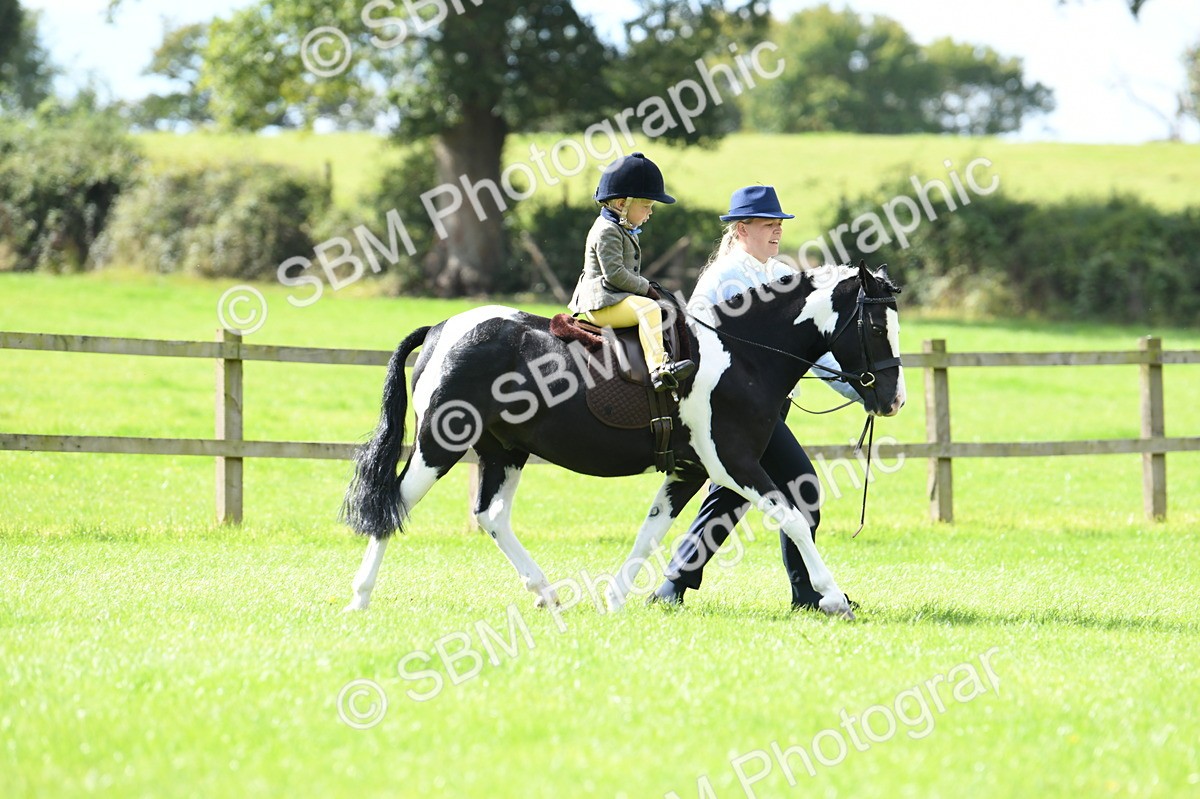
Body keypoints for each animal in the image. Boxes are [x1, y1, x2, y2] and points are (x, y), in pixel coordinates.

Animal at [341, 261, 905, 619]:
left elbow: (651, 533)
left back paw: (547, 594)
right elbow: (791, 518)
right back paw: (360, 598)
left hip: (504, 450)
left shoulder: (689, 470)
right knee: (395, 503)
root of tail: (442, 328)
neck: (741, 355)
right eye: (877, 326)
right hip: (440, 446)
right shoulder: (733, 464)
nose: (892, 399)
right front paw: (834, 598)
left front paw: (615, 600)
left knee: (491, 516)